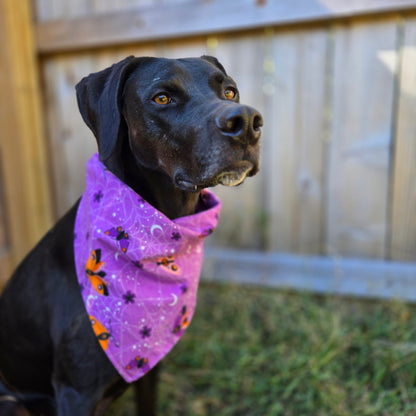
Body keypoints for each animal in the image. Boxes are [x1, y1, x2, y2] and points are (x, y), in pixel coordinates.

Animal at [0, 56, 262, 416]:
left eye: (230, 91)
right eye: (162, 97)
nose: (247, 122)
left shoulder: (149, 367)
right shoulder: (75, 392)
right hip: (12, 402)